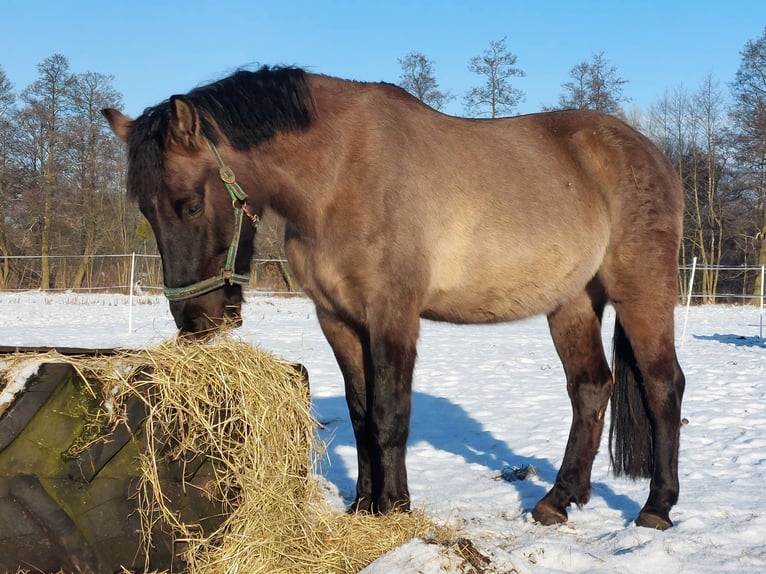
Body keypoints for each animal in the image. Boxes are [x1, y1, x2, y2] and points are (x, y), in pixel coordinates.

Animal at [102, 65, 686, 530]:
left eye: (190, 204)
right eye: (147, 211)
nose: (194, 318)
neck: (339, 173)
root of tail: (650, 153)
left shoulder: (393, 315)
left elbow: (389, 414)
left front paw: (396, 507)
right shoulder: (337, 320)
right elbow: (361, 416)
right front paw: (364, 506)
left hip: (642, 290)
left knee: (663, 386)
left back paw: (656, 508)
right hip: (571, 302)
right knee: (591, 388)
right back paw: (558, 500)